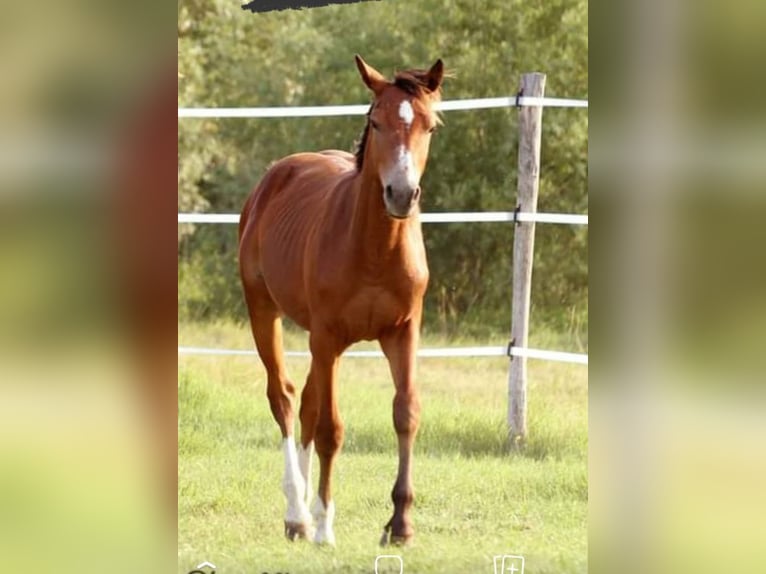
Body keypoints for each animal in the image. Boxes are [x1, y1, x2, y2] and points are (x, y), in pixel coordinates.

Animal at [238, 56, 444, 548]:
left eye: (430, 125)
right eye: (376, 121)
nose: (401, 194)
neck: (374, 249)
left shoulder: (402, 332)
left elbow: (405, 414)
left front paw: (400, 524)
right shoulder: (328, 336)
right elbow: (331, 428)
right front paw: (325, 525)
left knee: (308, 404)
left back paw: (302, 511)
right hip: (265, 312)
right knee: (285, 398)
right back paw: (298, 514)